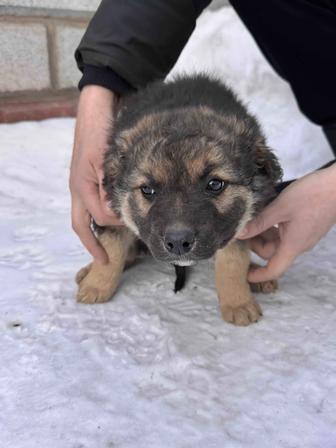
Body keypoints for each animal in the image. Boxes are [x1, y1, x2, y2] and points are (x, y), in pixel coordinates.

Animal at [75, 73, 282, 326]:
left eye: (215, 184)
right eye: (147, 189)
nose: (178, 243)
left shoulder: (238, 222)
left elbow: (233, 260)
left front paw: (238, 302)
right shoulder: (109, 210)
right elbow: (109, 250)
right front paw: (96, 285)